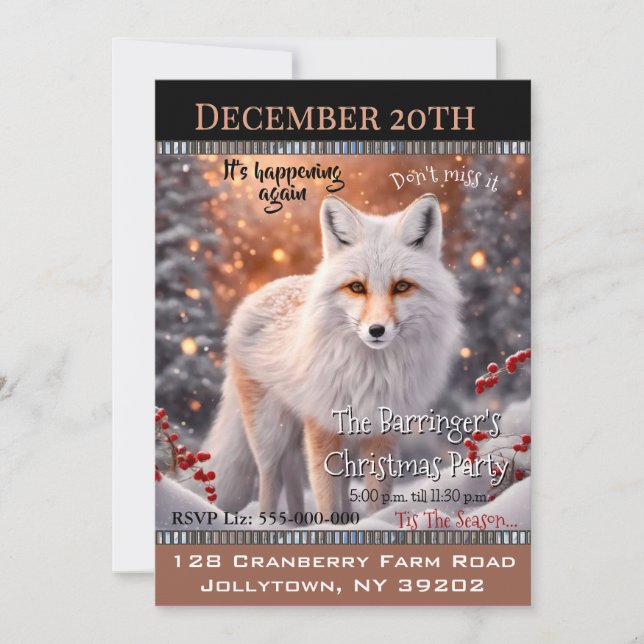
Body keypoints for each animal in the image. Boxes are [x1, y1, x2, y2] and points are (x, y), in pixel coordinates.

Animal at [205, 193, 463, 516]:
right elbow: (326, 498)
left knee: (301, 474)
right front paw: (330, 524)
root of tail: (261, 292)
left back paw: (305, 520)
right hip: (269, 432)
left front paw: (371, 522)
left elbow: (375, 500)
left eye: (402, 286)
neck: (370, 374)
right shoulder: (322, 426)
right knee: (271, 476)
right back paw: (272, 521)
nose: (376, 330)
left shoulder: (381, 431)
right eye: (357, 287)